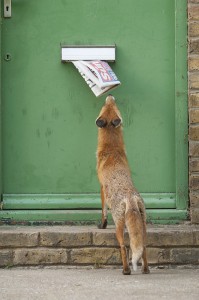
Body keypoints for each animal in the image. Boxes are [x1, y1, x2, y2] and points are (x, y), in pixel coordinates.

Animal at [96, 95, 149, 276]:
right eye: (108, 106)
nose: (110, 96)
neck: (112, 150)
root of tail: (130, 197)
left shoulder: (102, 188)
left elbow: (103, 211)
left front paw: (102, 225)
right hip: (143, 224)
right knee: (143, 247)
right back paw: (146, 270)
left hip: (119, 226)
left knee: (123, 247)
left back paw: (126, 270)